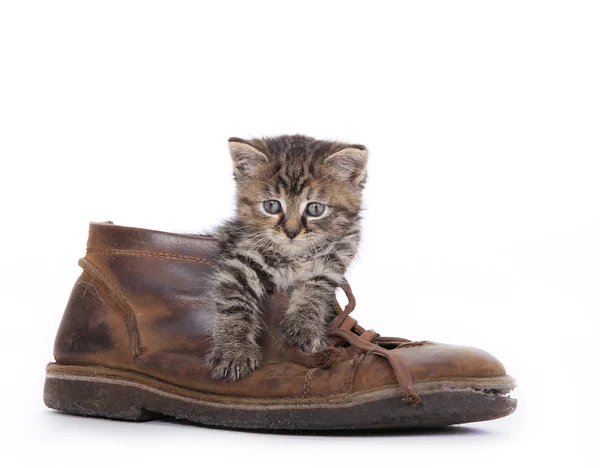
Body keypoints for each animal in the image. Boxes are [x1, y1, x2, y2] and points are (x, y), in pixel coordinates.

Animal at [209, 133, 368, 380]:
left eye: (315, 209)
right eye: (272, 205)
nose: (291, 232)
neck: (294, 256)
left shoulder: (332, 263)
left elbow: (314, 293)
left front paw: (304, 327)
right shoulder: (239, 260)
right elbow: (234, 304)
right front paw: (234, 350)